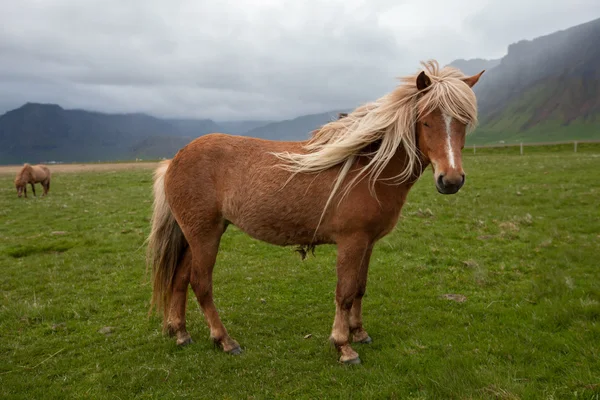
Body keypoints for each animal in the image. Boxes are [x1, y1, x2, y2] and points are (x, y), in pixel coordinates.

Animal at [148, 60, 486, 366]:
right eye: (426, 121)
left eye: (463, 122)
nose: (450, 180)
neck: (369, 169)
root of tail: (175, 159)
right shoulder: (351, 242)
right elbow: (345, 292)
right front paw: (344, 346)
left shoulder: (368, 243)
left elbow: (360, 288)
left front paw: (359, 332)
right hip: (204, 235)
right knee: (201, 283)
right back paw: (224, 340)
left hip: (197, 235)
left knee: (180, 279)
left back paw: (181, 333)